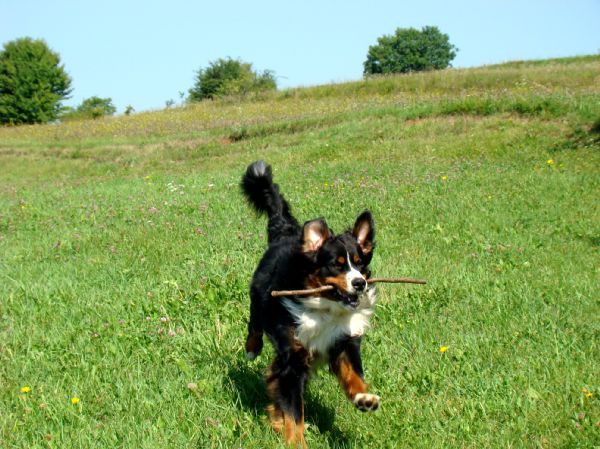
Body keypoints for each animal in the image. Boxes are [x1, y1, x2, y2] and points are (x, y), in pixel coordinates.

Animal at [240, 160, 378, 444]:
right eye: (335, 264)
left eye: (359, 263)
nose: (359, 283)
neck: (324, 308)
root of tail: (286, 232)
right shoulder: (292, 360)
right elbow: (294, 414)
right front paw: (295, 441)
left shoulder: (342, 339)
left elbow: (353, 373)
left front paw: (364, 397)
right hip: (259, 297)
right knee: (255, 324)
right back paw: (251, 349)